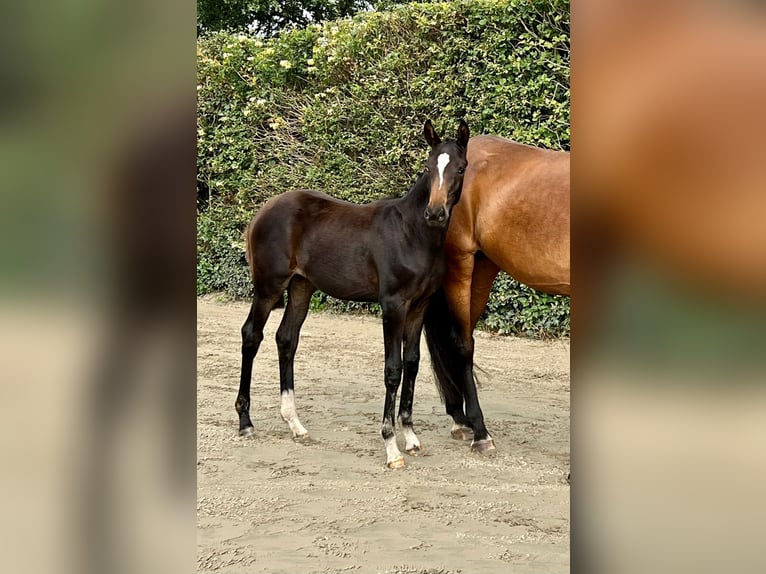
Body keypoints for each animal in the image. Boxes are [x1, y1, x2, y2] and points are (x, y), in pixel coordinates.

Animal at [237, 119, 472, 470]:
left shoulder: (419, 306)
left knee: (286, 339)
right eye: (428, 167)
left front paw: (411, 438)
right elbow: (393, 369)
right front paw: (391, 448)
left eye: (460, 168)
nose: (435, 213)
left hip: (302, 286)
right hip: (269, 287)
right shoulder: (393, 306)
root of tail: (262, 211)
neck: (413, 233)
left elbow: (412, 363)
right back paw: (245, 422)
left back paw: (295, 425)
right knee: (252, 335)